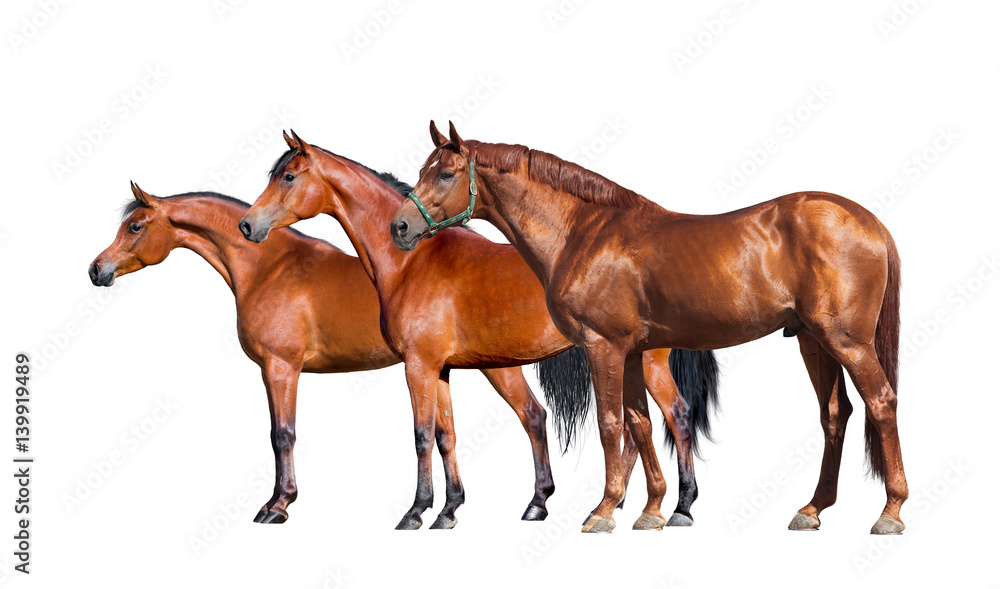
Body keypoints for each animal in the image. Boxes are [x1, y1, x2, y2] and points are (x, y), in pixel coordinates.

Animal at [89, 183, 612, 526]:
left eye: (135, 226)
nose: (97, 270)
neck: (267, 266)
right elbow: (442, 436)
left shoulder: (281, 368)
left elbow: (282, 435)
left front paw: (277, 505)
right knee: (532, 418)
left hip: (496, 367)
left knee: (534, 418)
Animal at [238, 131, 720, 530]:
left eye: (288, 176)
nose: (248, 224)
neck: (412, 264)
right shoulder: (440, 369)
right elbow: (446, 436)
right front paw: (447, 511)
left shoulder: (418, 366)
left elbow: (421, 436)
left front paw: (415, 511)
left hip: (635, 359)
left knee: (672, 417)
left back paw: (671, 507)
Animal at [389, 121, 906, 535]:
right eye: (423, 169)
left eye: (445, 173)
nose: (400, 227)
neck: (583, 233)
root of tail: (871, 222)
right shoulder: (633, 352)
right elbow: (638, 424)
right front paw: (653, 510)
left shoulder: (603, 348)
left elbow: (611, 424)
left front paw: (603, 511)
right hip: (813, 342)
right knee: (835, 414)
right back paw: (812, 509)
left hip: (847, 342)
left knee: (881, 402)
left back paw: (890, 512)